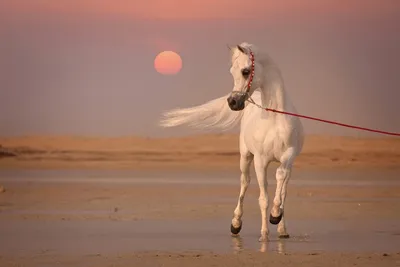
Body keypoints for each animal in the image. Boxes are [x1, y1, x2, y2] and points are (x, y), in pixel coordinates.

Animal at [159, 42, 304, 243]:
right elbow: (263, 198)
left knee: (282, 189)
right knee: (244, 182)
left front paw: (276, 216)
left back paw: (282, 229)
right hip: (245, 157)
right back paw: (236, 224)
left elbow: (280, 184)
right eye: (232, 71)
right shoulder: (260, 160)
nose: (233, 102)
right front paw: (264, 234)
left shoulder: (288, 156)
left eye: (245, 71)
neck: (274, 119)